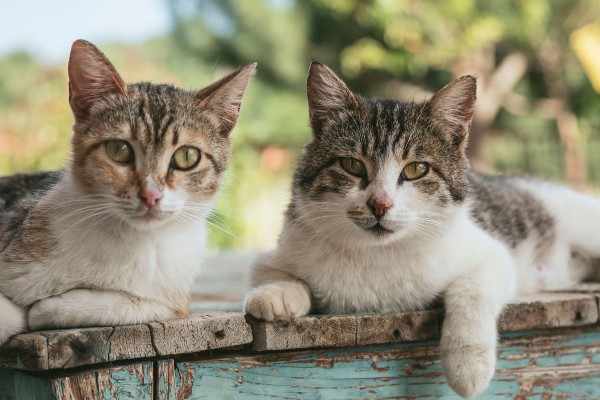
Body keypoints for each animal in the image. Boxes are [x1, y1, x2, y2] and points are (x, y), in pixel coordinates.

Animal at [0, 41, 255, 346]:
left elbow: (137, 303)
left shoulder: (173, 298)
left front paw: (49, 307)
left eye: (187, 156)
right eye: (119, 150)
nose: (150, 195)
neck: (130, 241)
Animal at [245, 62, 600, 396]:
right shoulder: (281, 247)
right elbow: (273, 274)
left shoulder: (493, 255)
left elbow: (472, 291)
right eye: (352, 165)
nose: (379, 204)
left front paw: (468, 363)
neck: (377, 255)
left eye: (416, 169)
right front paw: (276, 294)